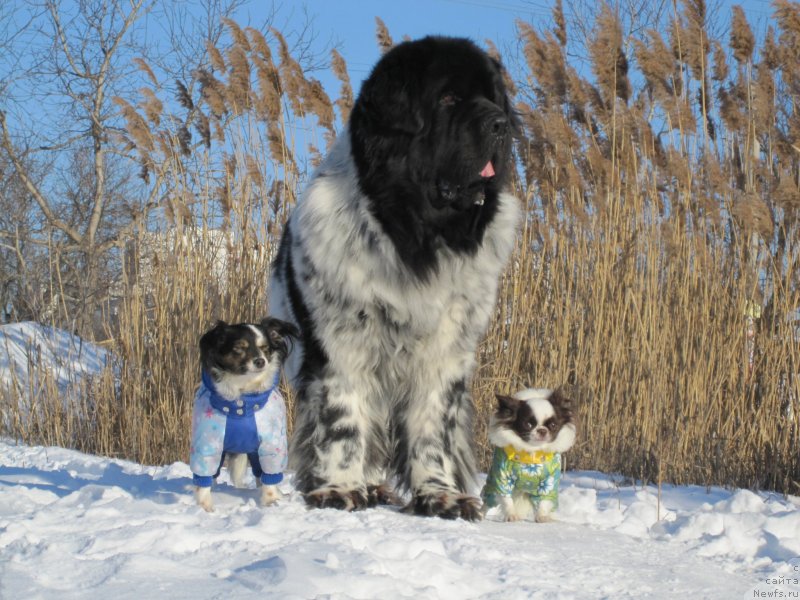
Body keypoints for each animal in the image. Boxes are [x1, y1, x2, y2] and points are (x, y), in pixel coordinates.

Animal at [192, 318, 298, 510]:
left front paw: (271, 501)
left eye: (265, 348)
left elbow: (270, 474)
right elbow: (204, 474)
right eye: (239, 348)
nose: (260, 361)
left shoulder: (271, 444)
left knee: (260, 473)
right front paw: (205, 507)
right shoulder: (207, 443)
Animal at [268, 36, 520, 520]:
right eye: (448, 98)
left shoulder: (445, 352)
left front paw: (440, 494)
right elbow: (342, 420)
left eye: (493, 98)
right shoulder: (339, 343)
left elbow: (433, 428)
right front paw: (339, 489)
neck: (414, 236)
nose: (502, 125)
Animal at [482, 390, 576, 520]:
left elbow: (544, 502)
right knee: (487, 502)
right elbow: (506, 499)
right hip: (491, 487)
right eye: (528, 425)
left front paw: (542, 517)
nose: (542, 430)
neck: (531, 454)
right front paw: (511, 515)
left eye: (553, 425)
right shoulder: (502, 479)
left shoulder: (549, 482)